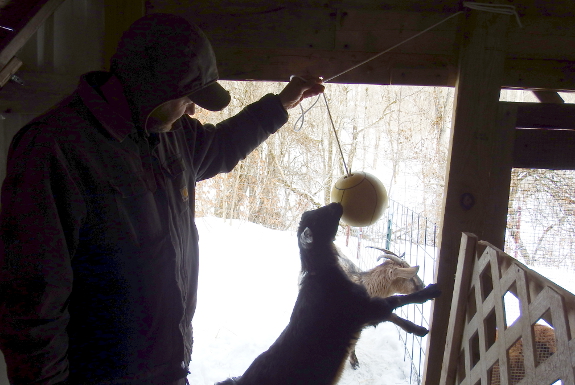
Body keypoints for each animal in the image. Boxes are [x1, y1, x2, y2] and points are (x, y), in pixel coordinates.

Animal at [216, 202, 440, 382]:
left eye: (312, 214)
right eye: (318, 219)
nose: (336, 204)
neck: (324, 274)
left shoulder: (364, 314)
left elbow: (390, 314)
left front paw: (418, 329)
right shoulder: (361, 308)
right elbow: (396, 301)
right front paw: (430, 293)